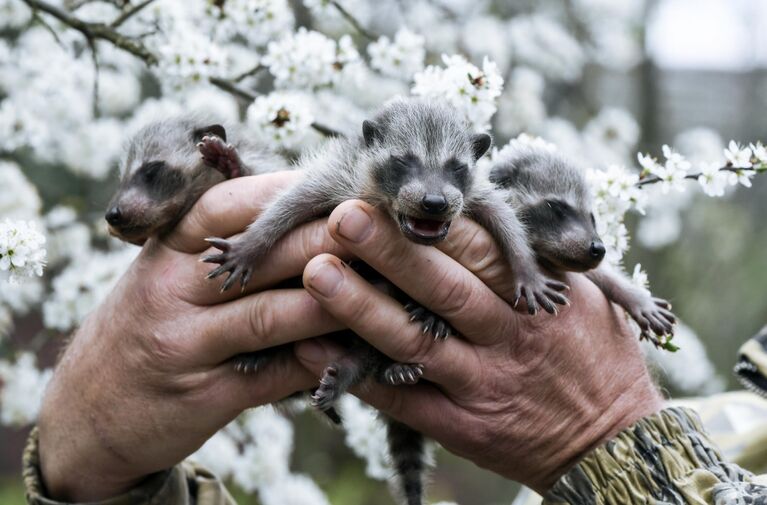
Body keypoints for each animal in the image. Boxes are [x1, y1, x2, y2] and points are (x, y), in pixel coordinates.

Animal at [204, 97, 568, 504]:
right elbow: (291, 202)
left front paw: (526, 267)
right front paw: (253, 243)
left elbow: (505, 219)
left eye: (455, 167)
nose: (434, 202)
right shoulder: (341, 175)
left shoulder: (476, 193)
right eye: (403, 161)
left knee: (370, 349)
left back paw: (373, 360)